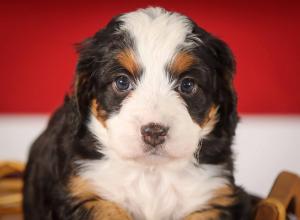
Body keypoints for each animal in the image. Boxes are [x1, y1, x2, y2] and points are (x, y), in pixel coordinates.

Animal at [23, 6, 251, 220]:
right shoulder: (84, 192)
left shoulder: (213, 197)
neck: (150, 173)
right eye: (122, 82)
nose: (154, 132)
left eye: (187, 85)